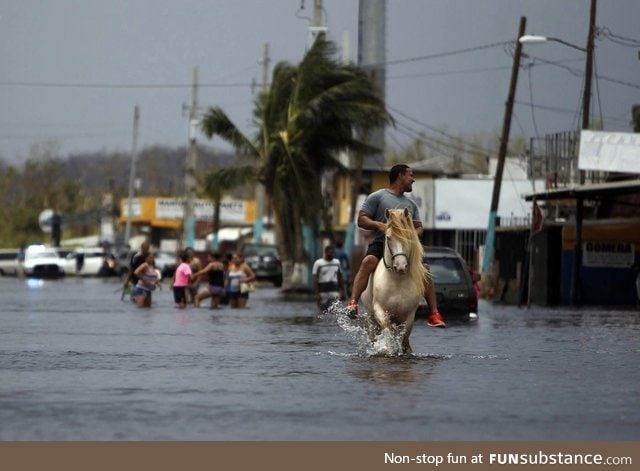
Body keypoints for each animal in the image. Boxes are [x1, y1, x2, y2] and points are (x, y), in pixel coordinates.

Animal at [360, 208, 430, 356]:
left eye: (408, 236)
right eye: (388, 237)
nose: (401, 266)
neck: (397, 280)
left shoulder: (409, 315)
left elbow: (404, 337)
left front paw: (405, 351)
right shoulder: (379, 310)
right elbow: (387, 330)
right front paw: (389, 351)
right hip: (370, 316)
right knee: (375, 334)